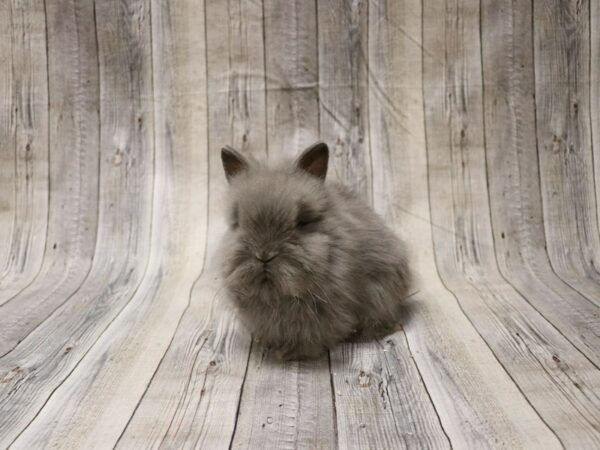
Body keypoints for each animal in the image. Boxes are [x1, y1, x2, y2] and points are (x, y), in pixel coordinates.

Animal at [218, 142, 410, 360]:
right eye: (238, 222)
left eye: (302, 221)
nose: (264, 255)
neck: (276, 295)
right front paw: (268, 345)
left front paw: (287, 353)